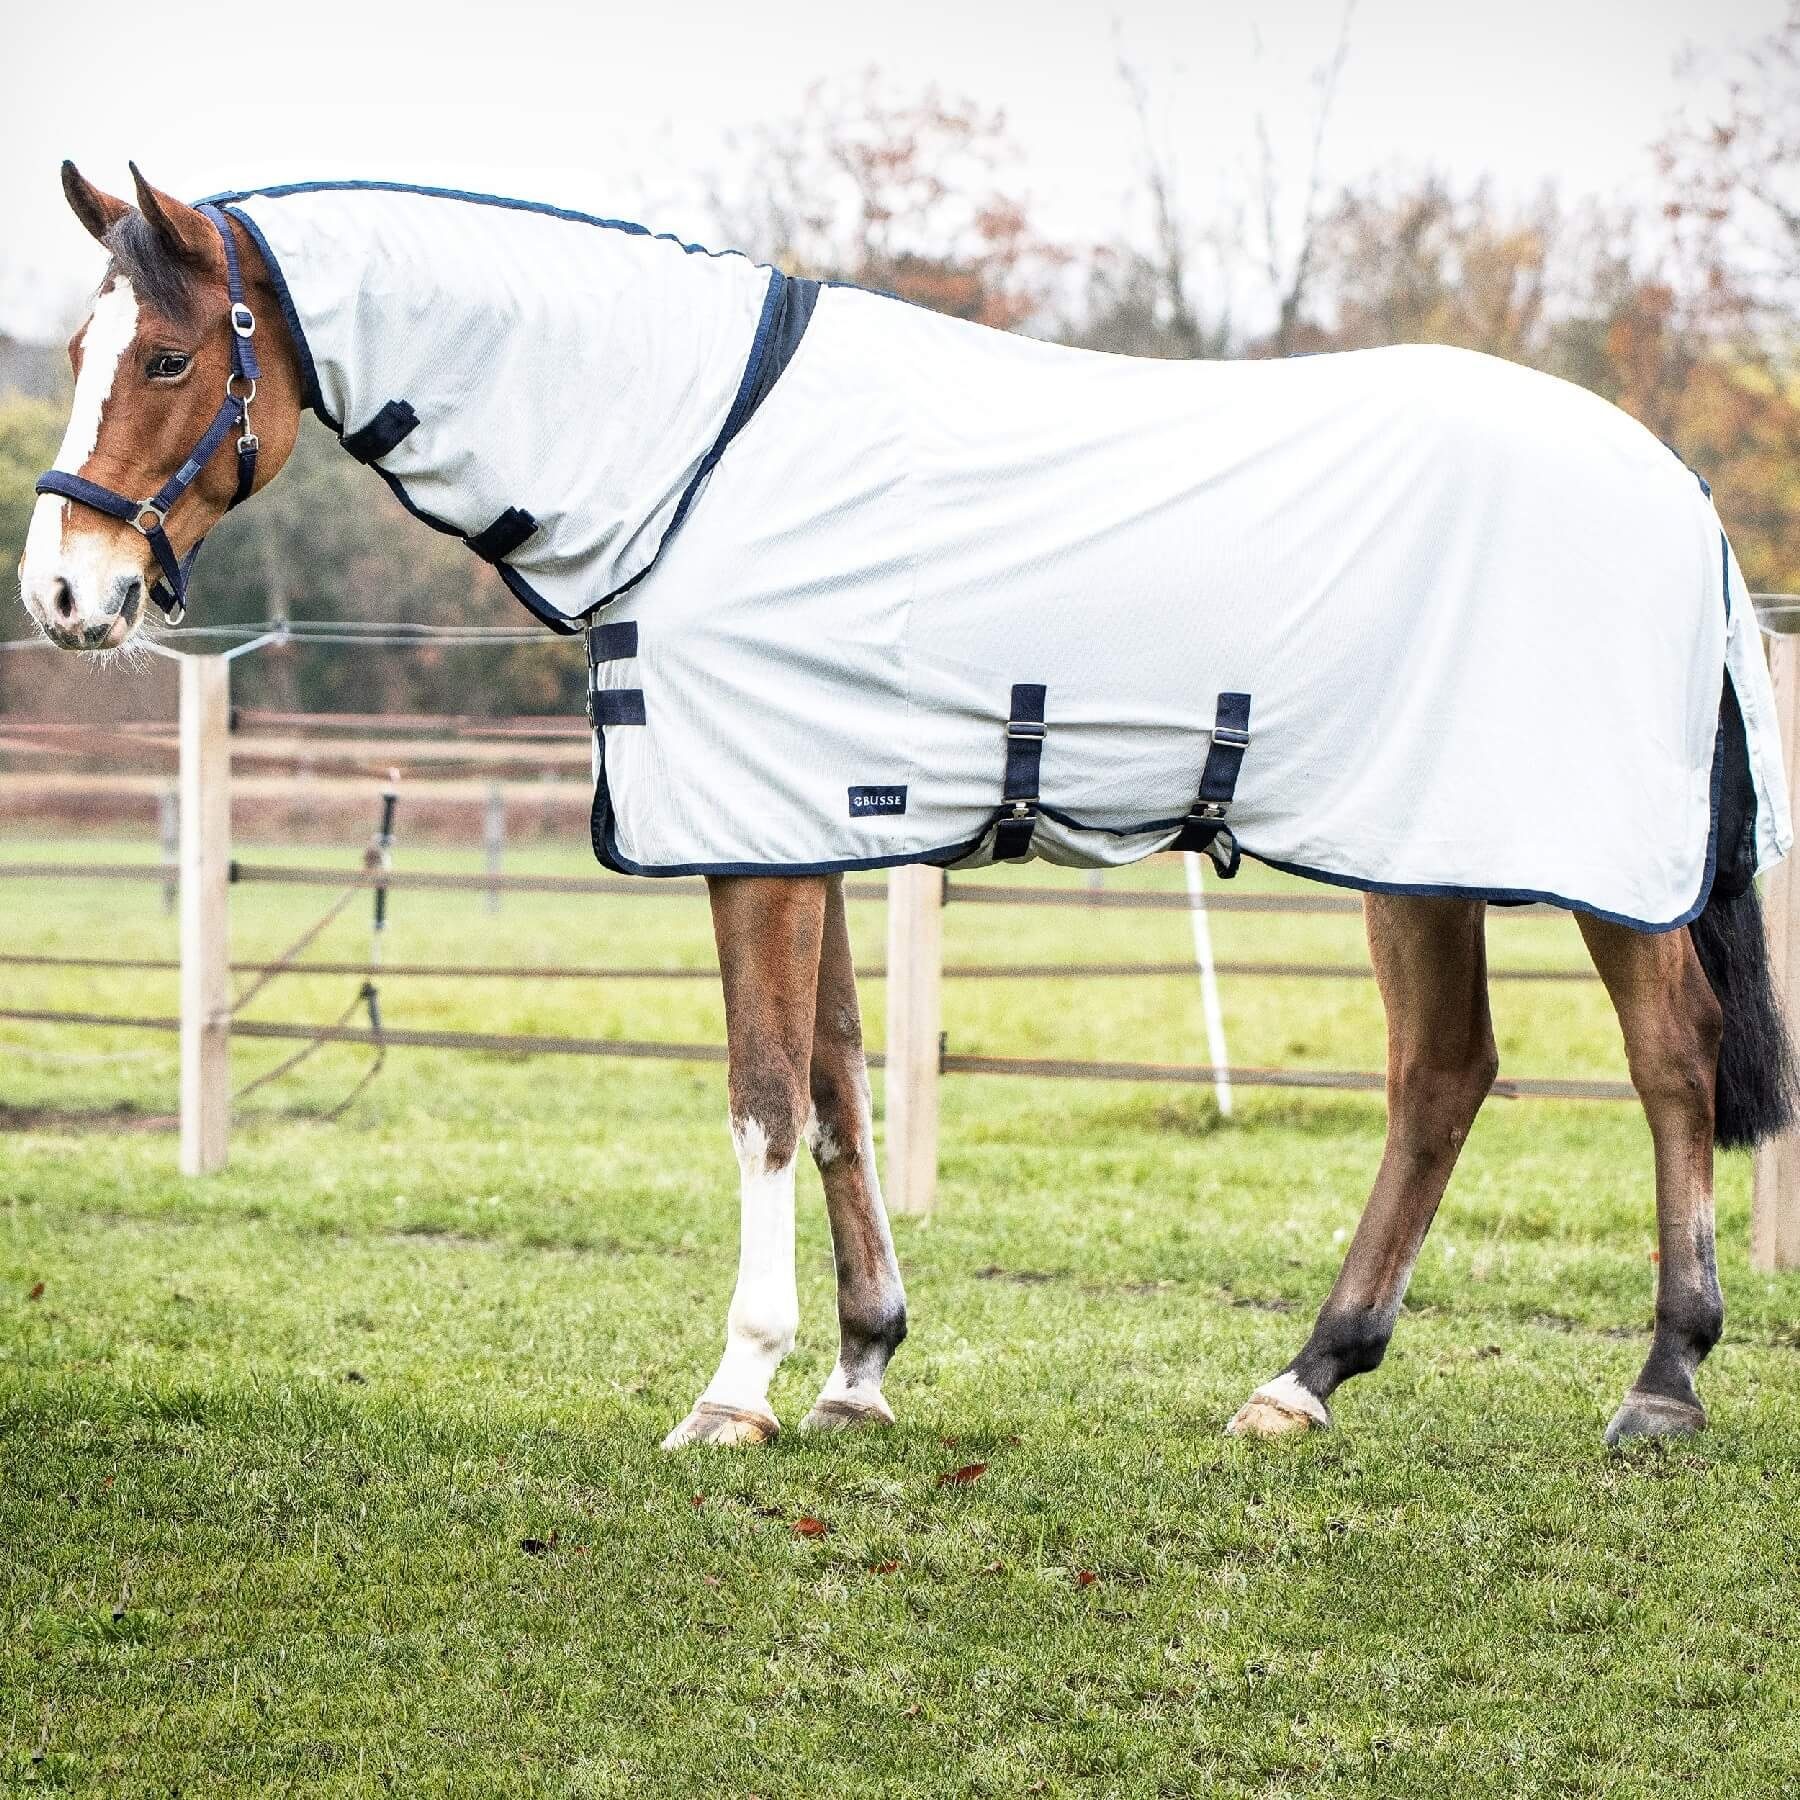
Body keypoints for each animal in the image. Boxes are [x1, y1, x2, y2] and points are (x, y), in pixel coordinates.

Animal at [17, 163, 1798, 1451]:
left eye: (168, 355)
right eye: (78, 354)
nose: (64, 594)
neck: (696, 453)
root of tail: (1679, 492)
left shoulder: (754, 840)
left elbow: (760, 1097)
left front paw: (735, 1389)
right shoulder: (802, 829)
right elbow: (840, 1090)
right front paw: (859, 1370)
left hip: (1576, 867)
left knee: (1665, 1063)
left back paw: (1661, 1385)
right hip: (1415, 853)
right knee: (1444, 1075)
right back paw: (1305, 1379)